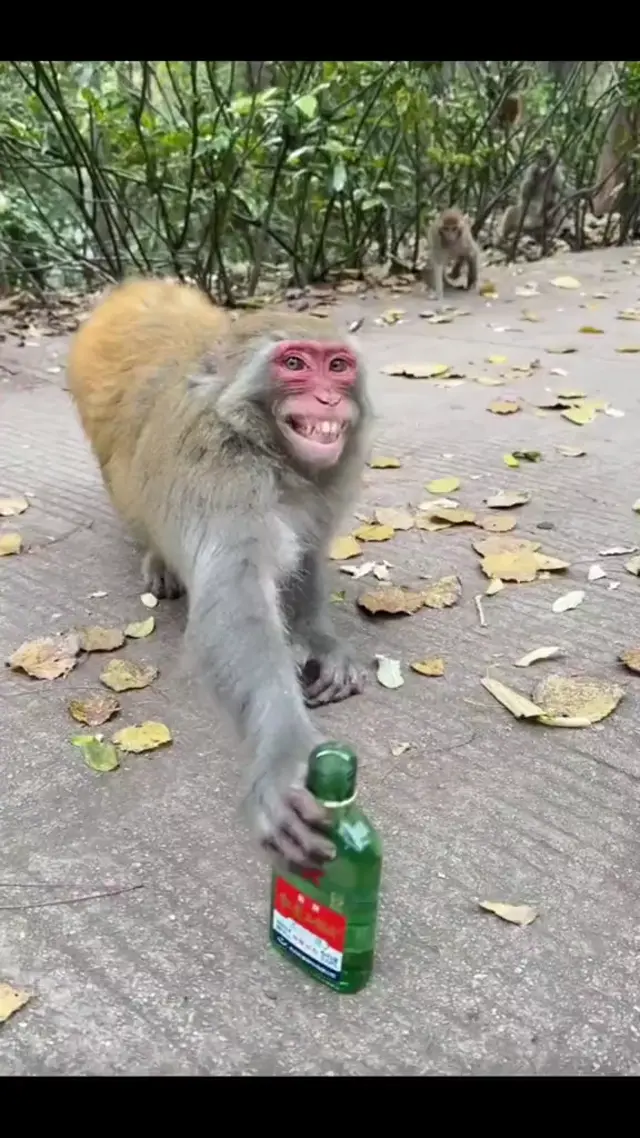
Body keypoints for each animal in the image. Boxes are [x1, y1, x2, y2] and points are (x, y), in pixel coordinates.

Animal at [67, 278, 373, 871]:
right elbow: (236, 593)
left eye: (338, 366)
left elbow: (304, 555)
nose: (328, 399)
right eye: (295, 364)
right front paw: (286, 759)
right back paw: (161, 561)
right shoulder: (221, 471)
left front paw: (322, 643)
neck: (269, 451)